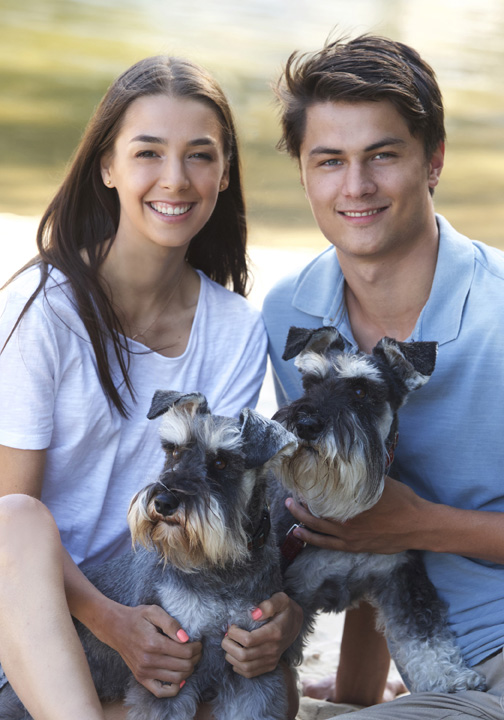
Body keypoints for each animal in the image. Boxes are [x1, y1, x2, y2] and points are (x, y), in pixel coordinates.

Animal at [0, 390, 298, 720]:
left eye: (221, 462)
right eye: (174, 451)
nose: (164, 501)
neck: (219, 567)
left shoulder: (250, 670)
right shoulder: (167, 672)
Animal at [270, 328, 486, 696]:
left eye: (361, 391)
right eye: (310, 383)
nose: (306, 424)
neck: (341, 505)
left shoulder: (402, 574)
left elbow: (424, 633)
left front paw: (449, 678)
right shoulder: (291, 592)